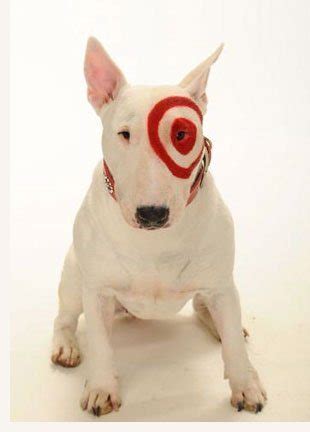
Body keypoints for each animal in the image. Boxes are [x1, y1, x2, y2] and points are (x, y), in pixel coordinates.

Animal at [50, 38, 266, 418]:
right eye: (124, 134)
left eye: (182, 135)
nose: (152, 214)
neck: (153, 242)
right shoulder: (98, 290)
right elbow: (102, 345)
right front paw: (102, 389)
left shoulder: (221, 285)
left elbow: (234, 347)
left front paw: (246, 385)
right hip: (74, 276)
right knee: (63, 318)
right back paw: (66, 347)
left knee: (206, 309)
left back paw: (223, 326)